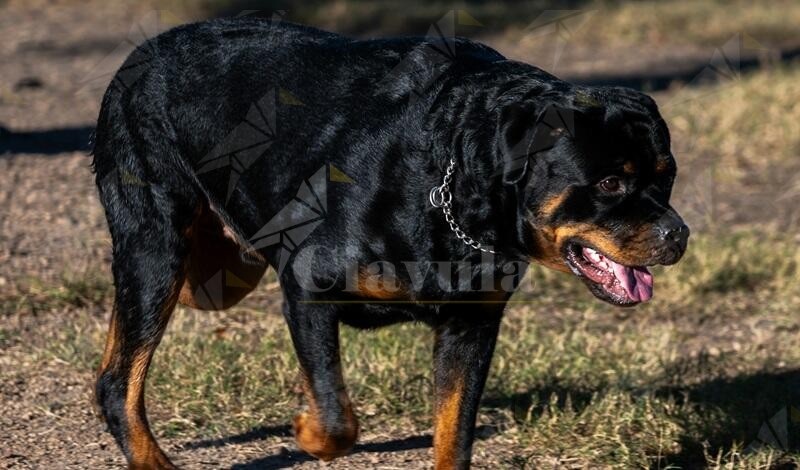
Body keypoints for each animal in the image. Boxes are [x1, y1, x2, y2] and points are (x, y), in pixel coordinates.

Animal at [89, 16, 688, 468]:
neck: (449, 178)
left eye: (667, 177)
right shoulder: (307, 286)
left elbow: (454, 434)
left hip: (217, 271)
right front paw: (307, 429)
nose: (678, 233)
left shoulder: (471, 325)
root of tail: (139, 54)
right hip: (158, 247)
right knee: (118, 382)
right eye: (609, 183)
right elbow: (336, 419)